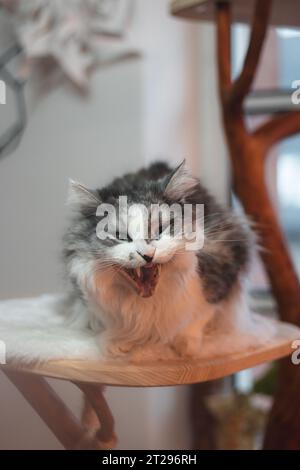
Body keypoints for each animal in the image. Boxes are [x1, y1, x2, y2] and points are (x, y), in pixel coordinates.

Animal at [62, 162, 253, 360]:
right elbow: (106, 322)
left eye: (161, 229)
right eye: (121, 237)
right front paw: (115, 342)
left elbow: (201, 314)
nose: (147, 255)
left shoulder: (223, 262)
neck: (148, 304)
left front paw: (186, 346)